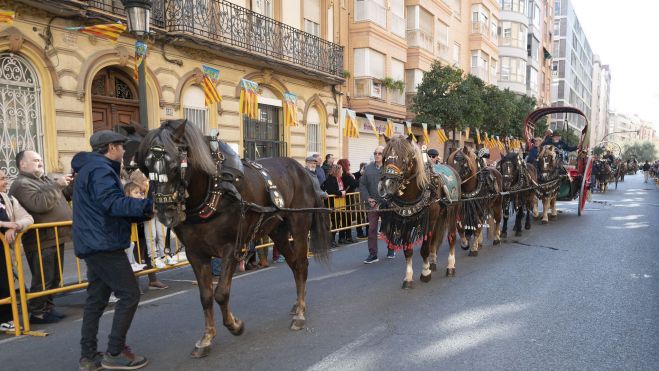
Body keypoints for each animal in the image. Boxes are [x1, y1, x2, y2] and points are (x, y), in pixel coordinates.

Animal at [135, 119, 330, 358]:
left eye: (174, 166)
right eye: (146, 167)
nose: (164, 212)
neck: (213, 189)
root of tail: (303, 170)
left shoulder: (230, 248)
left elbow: (221, 293)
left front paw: (235, 325)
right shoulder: (195, 254)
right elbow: (206, 296)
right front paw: (207, 338)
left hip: (299, 227)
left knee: (301, 265)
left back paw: (300, 313)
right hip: (278, 232)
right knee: (294, 265)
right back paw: (297, 304)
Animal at [378, 135, 462, 290]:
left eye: (404, 158)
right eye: (384, 157)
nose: (387, 184)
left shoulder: (430, 220)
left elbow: (424, 248)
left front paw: (425, 273)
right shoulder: (406, 221)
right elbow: (408, 250)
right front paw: (408, 278)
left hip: (452, 210)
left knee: (451, 237)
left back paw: (450, 266)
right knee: (435, 239)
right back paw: (433, 262)